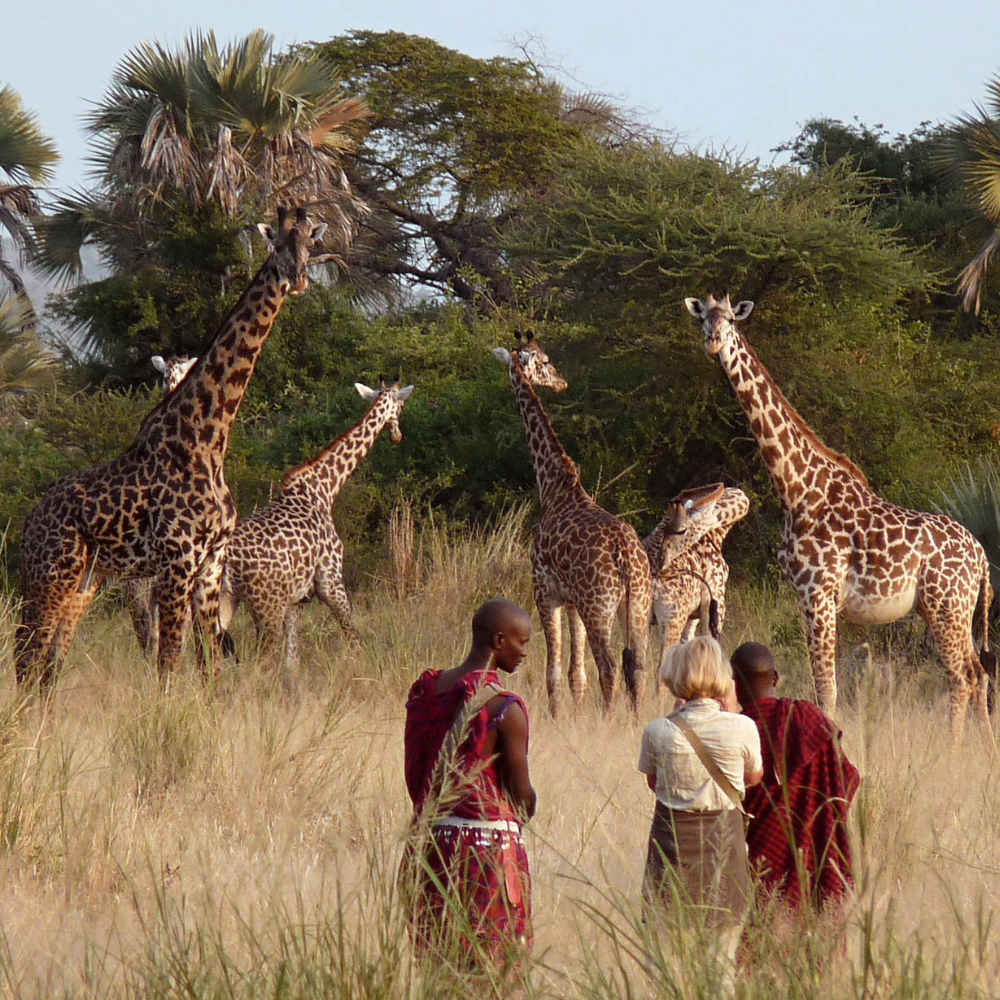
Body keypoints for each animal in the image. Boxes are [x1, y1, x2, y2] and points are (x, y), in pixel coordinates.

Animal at [15, 205, 330, 687]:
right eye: (276, 244)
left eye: (311, 245)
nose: (297, 280)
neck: (208, 439)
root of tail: (28, 525)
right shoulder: (177, 561)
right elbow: (168, 664)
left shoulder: (210, 565)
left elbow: (209, 666)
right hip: (51, 576)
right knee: (26, 660)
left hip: (84, 583)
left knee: (47, 666)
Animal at [218, 379, 413, 670]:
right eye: (401, 406)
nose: (397, 436)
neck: (324, 488)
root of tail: (225, 559)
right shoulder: (331, 582)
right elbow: (354, 638)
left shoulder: (296, 600)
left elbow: (293, 662)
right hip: (265, 604)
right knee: (259, 660)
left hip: (222, 599)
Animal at [492, 332, 722, 714]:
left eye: (544, 359)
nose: (561, 381)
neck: (553, 486)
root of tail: (626, 557)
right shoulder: (573, 601)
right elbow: (576, 675)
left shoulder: (545, 591)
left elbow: (555, 672)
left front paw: (556, 718)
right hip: (637, 604)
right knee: (638, 666)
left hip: (600, 606)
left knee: (611, 667)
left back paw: (609, 716)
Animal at [646, 486, 749, 655]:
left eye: (680, 530)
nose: (659, 560)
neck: (716, 535)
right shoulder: (715, 603)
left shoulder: (692, 617)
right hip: (672, 620)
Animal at [686, 292, 994, 743]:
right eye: (703, 320)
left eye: (731, 322)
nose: (713, 342)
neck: (796, 488)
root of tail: (982, 557)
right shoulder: (803, 596)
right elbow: (822, 685)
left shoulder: (819, 592)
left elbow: (825, 688)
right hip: (951, 609)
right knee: (979, 672)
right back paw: (984, 748)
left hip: (946, 606)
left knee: (962, 677)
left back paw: (953, 750)